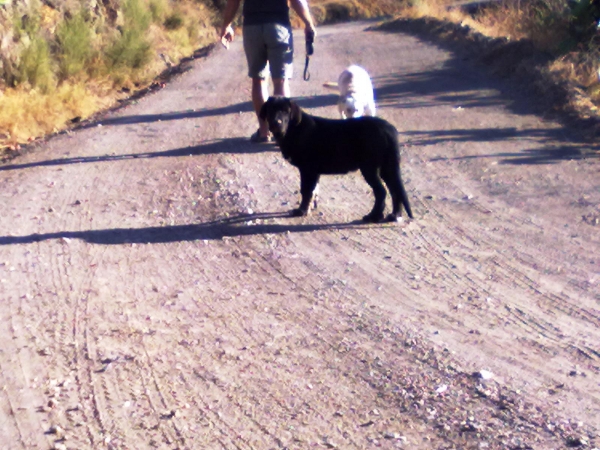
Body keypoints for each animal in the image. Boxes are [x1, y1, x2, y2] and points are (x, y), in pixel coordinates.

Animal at [260, 96, 414, 221]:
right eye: (271, 110)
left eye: (286, 111)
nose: (276, 123)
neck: (293, 129)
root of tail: (389, 129)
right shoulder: (313, 172)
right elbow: (312, 192)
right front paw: (308, 208)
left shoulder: (307, 170)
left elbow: (305, 191)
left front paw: (301, 211)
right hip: (387, 168)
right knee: (395, 190)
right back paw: (394, 215)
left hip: (369, 168)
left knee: (382, 192)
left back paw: (373, 216)